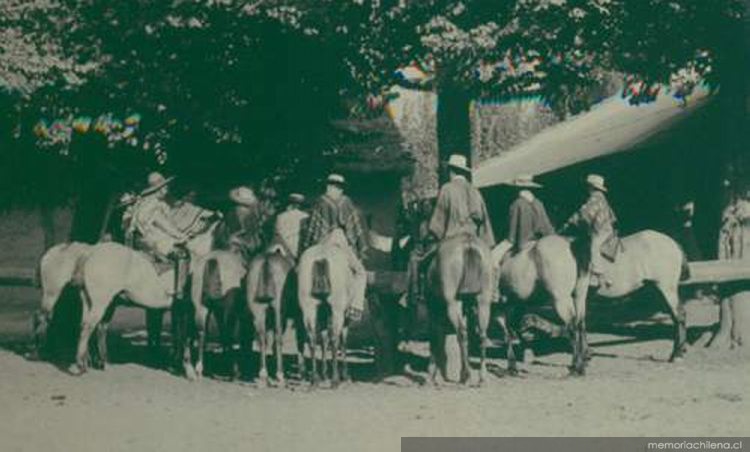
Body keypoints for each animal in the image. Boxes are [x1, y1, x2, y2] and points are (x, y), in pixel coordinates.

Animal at [247, 249, 306, 386]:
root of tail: (266, 260)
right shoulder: (298, 319)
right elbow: (300, 341)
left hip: (258, 312)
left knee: (262, 339)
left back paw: (263, 375)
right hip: (279, 312)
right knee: (278, 338)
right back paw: (280, 375)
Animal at [298, 235, 354, 386]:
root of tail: (321, 258)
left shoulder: (322, 314)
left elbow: (323, 340)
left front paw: (324, 374)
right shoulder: (344, 316)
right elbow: (343, 341)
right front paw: (345, 375)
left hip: (309, 307)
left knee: (312, 339)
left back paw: (315, 379)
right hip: (337, 310)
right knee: (335, 339)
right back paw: (335, 379)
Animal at [426, 233, 496, 384]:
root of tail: (468, 243)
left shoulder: (434, 308)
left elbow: (434, 337)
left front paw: (431, 374)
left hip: (452, 302)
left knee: (461, 332)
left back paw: (466, 375)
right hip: (483, 300)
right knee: (482, 334)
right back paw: (481, 376)